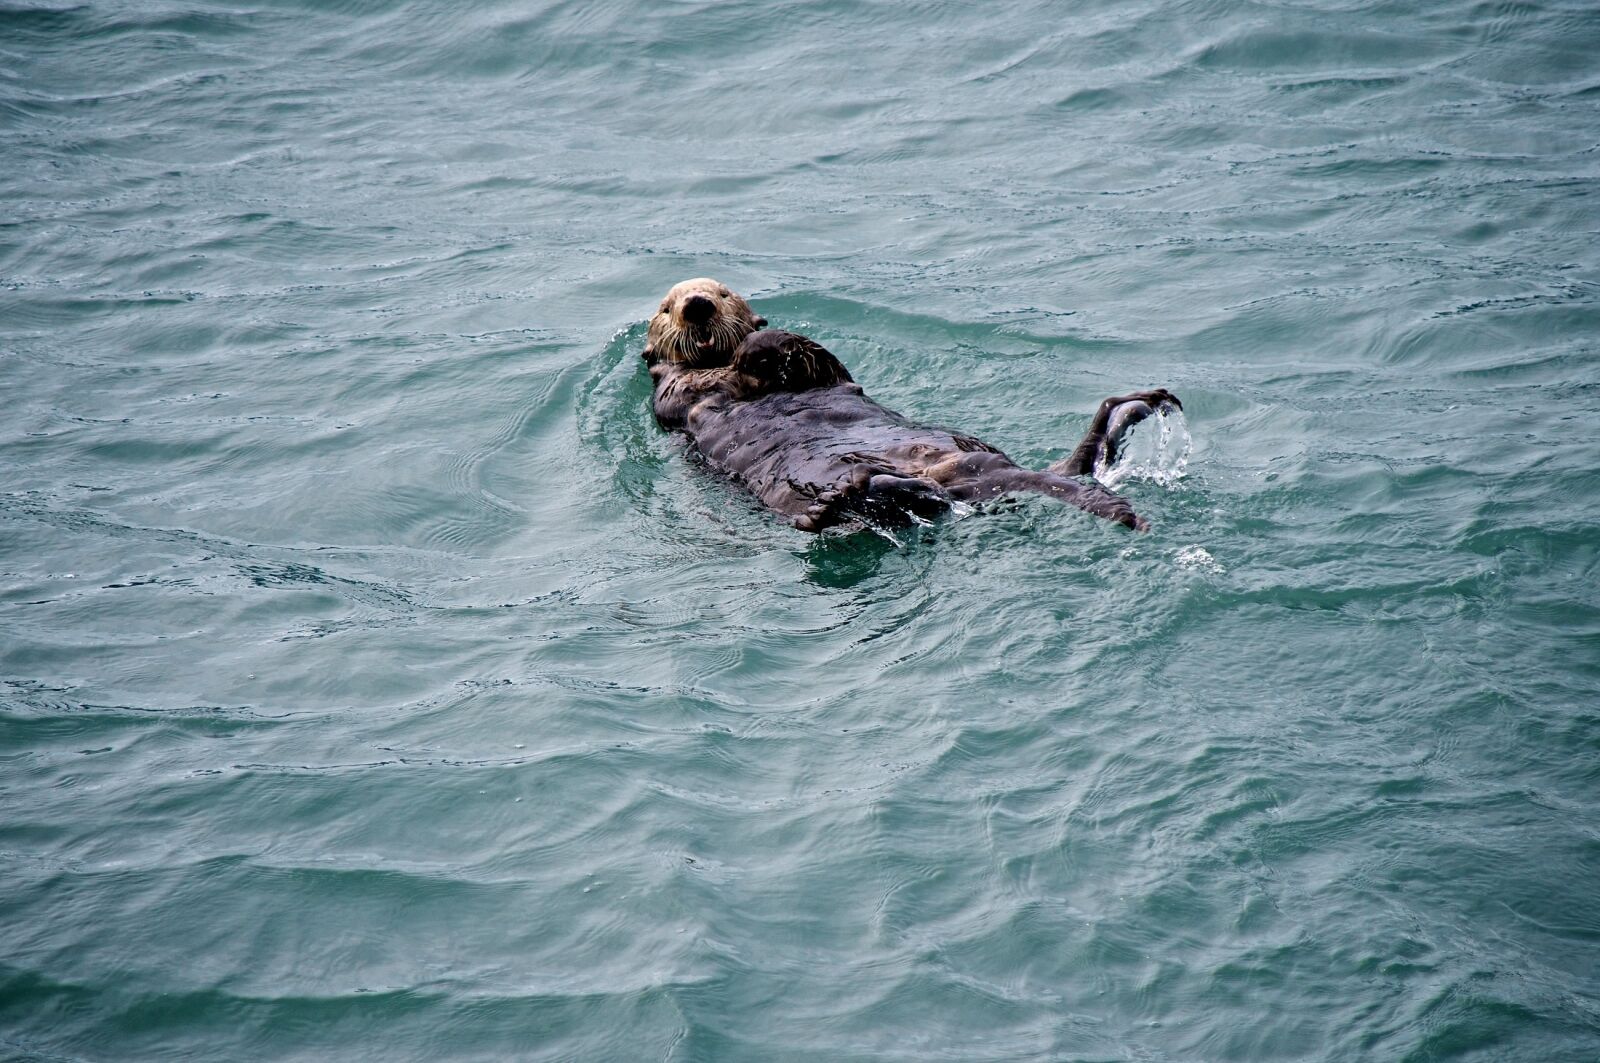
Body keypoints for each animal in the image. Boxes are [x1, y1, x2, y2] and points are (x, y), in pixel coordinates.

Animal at [642, 278, 1181, 533]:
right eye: (666, 308)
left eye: (723, 292)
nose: (696, 304)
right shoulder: (673, 399)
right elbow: (690, 390)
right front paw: (745, 359)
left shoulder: (831, 374)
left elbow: (824, 366)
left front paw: (761, 347)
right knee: (918, 500)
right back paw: (840, 503)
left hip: (969, 451)